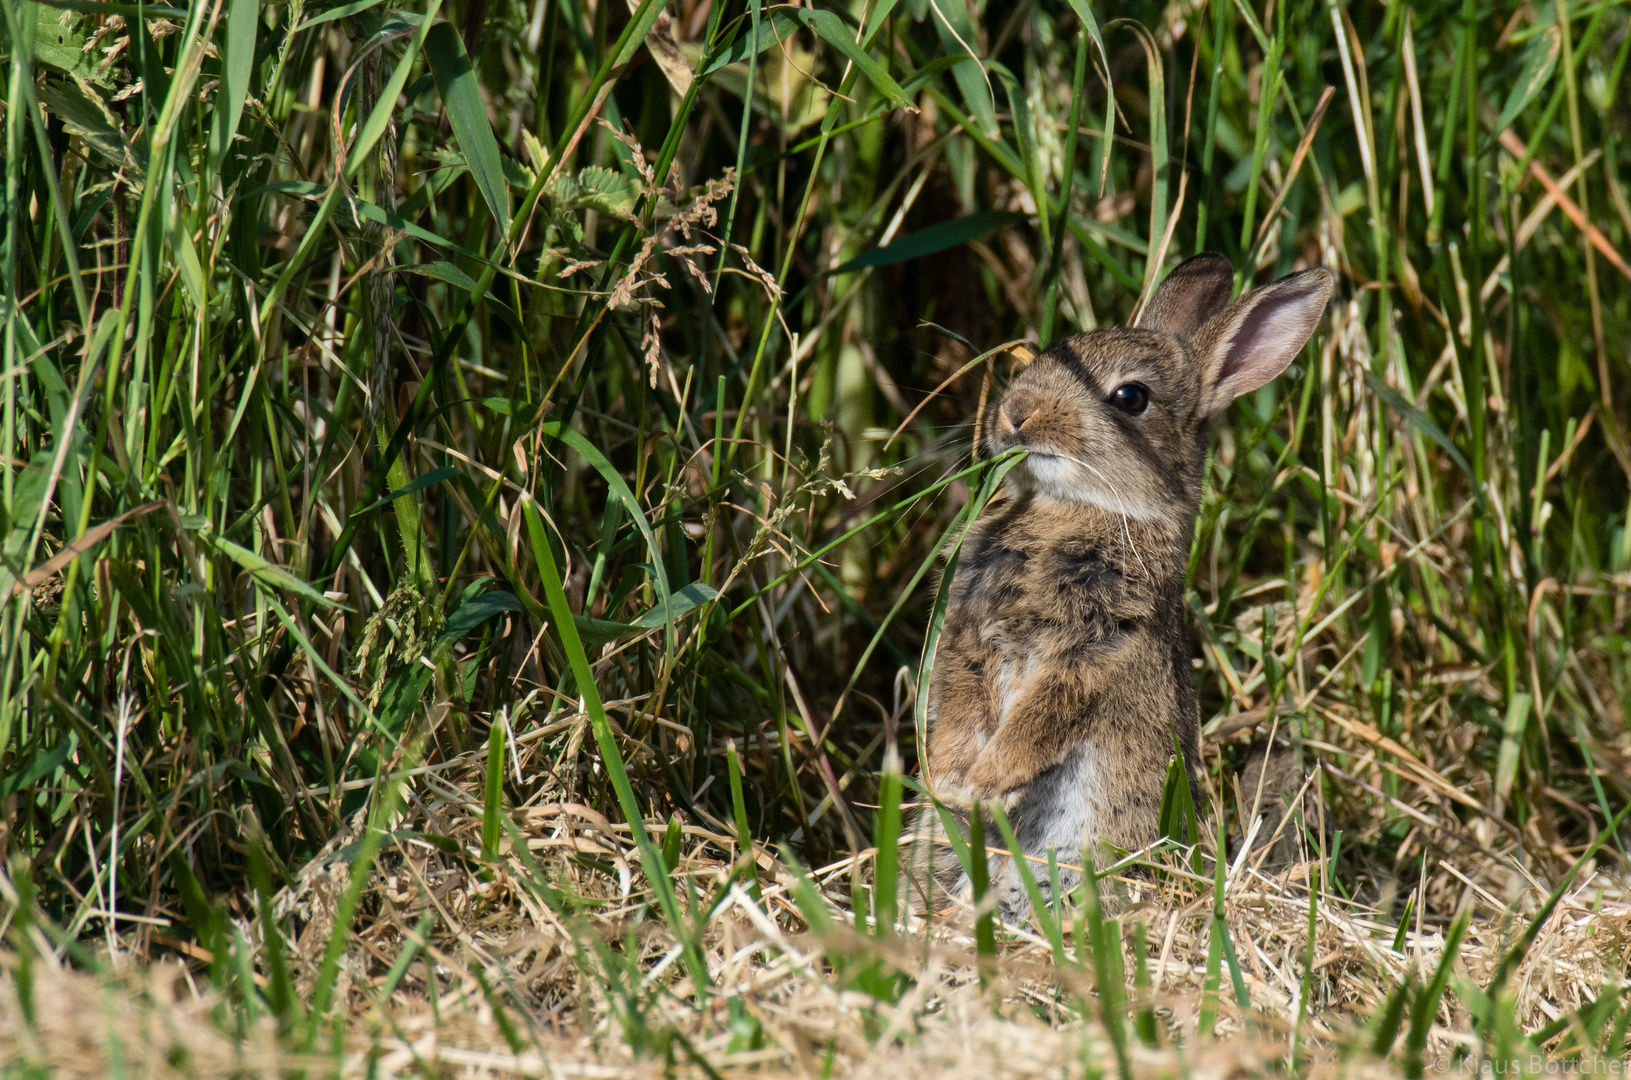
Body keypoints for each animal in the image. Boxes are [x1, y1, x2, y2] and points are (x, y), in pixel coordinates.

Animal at [913, 254, 1330, 920]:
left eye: (1130, 397)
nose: (1015, 413)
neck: (1080, 510)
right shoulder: (970, 634)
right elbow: (959, 702)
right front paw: (949, 781)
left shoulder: (1095, 649)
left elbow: (1038, 722)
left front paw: (980, 784)